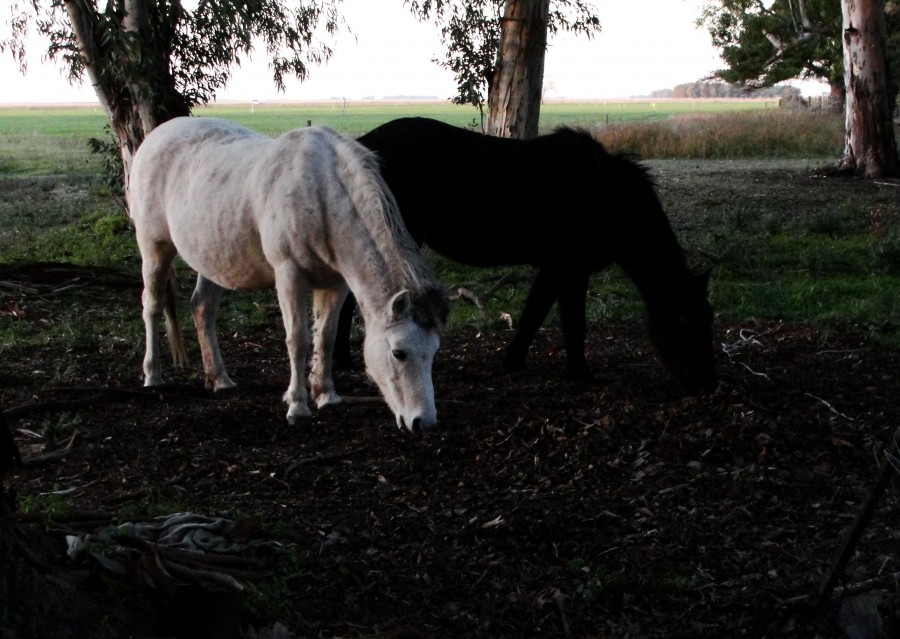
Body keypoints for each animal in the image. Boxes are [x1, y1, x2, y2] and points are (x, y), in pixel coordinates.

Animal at [126, 117, 450, 432]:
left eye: (433, 351)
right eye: (398, 353)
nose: (424, 423)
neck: (321, 193)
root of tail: (155, 136)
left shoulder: (336, 284)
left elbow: (326, 337)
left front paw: (326, 395)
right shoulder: (289, 276)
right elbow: (298, 339)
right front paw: (297, 406)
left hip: (214, 260)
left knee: (202, 308)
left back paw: (219, 379)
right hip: (154, 248)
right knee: (152, 306)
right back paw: (153, 376)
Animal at [338, 115, 716, 396]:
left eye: (708, 319)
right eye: (683, 320)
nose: (706, 385)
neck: (606, 196)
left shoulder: (554, 267)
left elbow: (535, 312)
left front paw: (514, 360)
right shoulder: (571, 269)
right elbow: (573, 321)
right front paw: (581, 373)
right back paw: (345, 361)